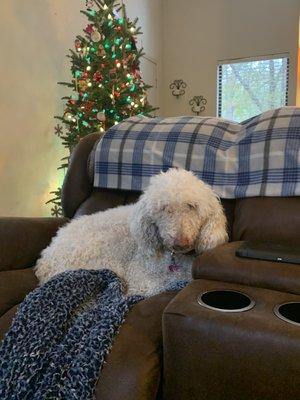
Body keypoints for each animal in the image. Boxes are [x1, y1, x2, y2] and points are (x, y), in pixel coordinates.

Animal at [35, 169, 227, 296]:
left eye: (192, 206)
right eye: (164, 208)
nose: (180, 243)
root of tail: (44, 262)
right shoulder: (139, 276)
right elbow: (153, 287)